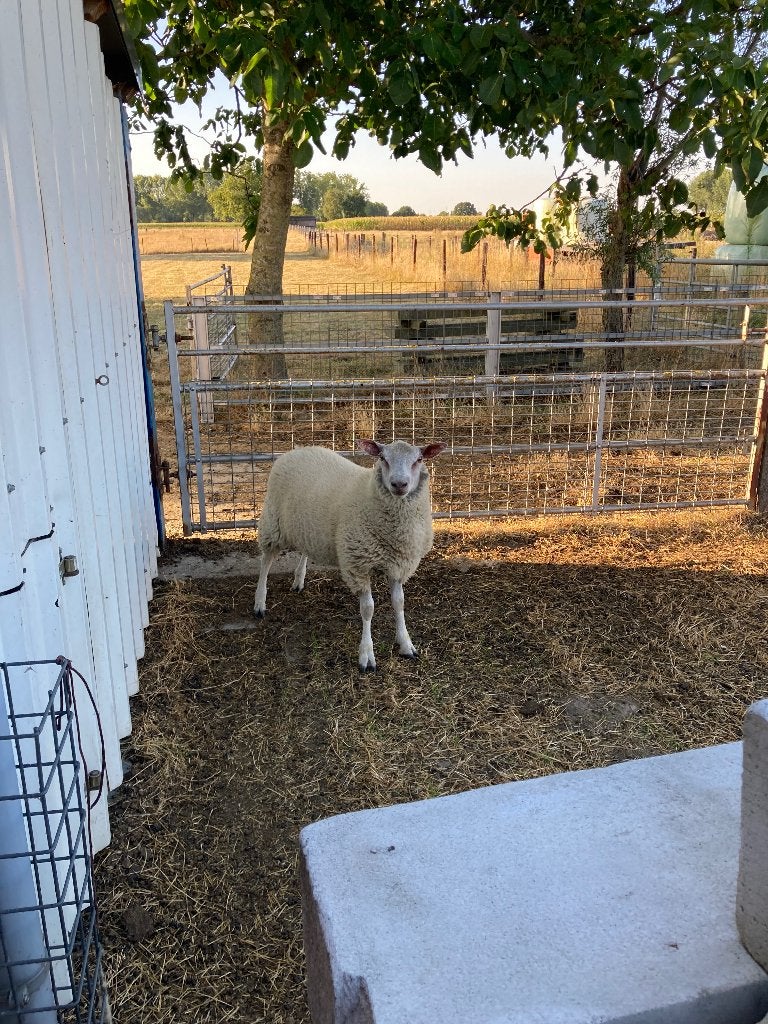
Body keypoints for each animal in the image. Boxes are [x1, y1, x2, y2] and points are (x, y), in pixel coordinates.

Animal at [253, 438, 446, 671]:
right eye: (383, 458)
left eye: (418, 459)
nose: (399, 484)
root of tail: (298, 449)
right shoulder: (358, 566)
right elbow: (368, 609)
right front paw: (367, 655)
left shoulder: (398, 564)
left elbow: (399, 603)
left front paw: (406, 644)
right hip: (273, 523)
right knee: (266, 561)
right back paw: (259, 602)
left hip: (307, 527)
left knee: (304, 550)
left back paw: (299, 580)